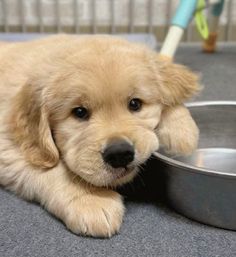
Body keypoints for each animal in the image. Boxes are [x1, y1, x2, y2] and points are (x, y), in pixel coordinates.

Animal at [0, 35, 199, 237]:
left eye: (135, 104)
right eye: (79, 112)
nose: (120, 154)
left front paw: (182, 133)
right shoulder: (8, 146)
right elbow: (53, 171)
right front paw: (92, 201)